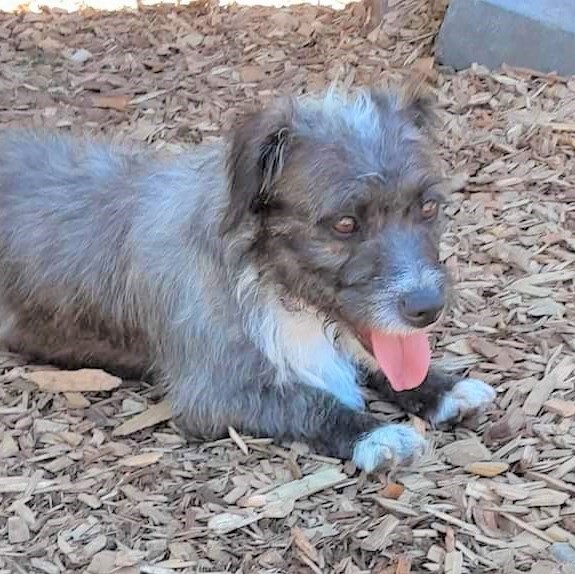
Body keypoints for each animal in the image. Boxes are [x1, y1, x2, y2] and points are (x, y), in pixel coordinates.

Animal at [0, 82, 496, 476]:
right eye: (345, 224)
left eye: (428, 207)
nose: (427, 308)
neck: (270, 282)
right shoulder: (213, 392)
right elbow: (310, 401)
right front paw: (375, 434)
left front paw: (444, 387)